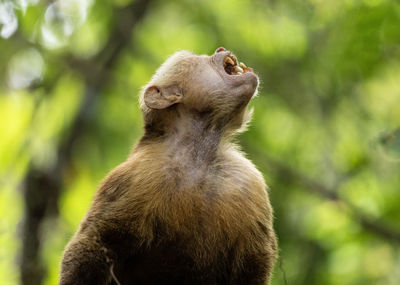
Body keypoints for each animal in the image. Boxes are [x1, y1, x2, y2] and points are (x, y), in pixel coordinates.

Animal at [59, 47, 276, 284]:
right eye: (199, 58)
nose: (220, 49)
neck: (198, 157)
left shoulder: (248, 180)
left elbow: (252, 265)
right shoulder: (136, 174)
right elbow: (96, 243)